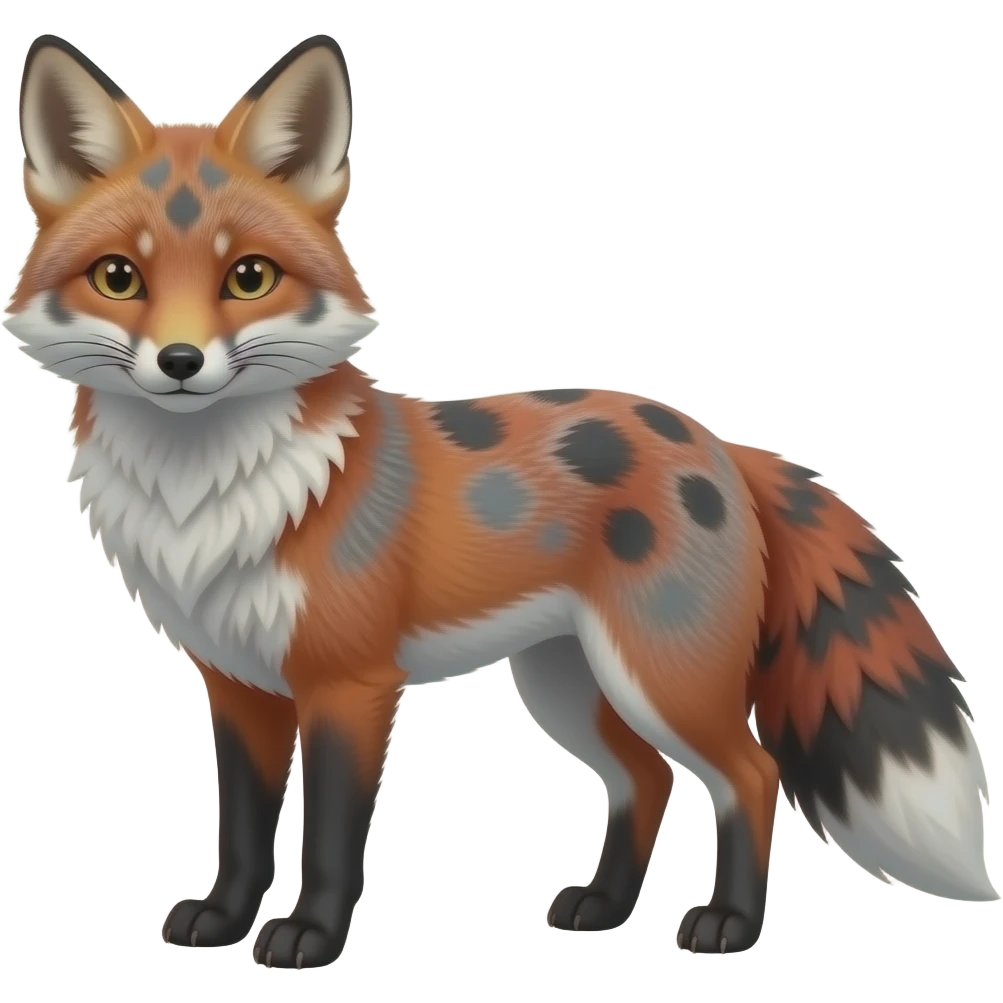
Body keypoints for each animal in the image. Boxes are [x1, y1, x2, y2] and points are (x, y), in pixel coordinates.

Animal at [4, 31, 997, 970]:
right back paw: (603, 907)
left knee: (751, 775)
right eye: (119, 278)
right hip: (569, 685)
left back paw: (728, 923)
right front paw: (220, 919)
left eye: (248, 277)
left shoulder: (349, 685)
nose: (180, 363)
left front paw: (310, 937)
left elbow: (329, 838)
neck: (211, 497)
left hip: (661, 677)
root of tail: (717, 441)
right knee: (645, 780)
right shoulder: (239, 682)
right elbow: (242, 830)